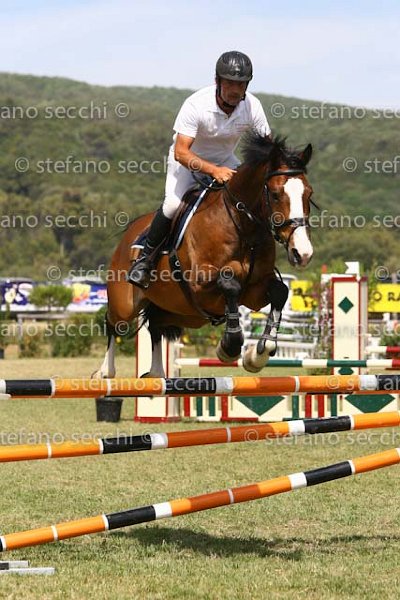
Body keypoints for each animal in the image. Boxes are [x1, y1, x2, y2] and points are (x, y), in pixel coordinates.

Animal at [93, 132, 314, 379]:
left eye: (309, 194)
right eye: (275, 195)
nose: (303, 253)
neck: (242, 228)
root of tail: (131, 232)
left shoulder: (255, 291)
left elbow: (280, 291)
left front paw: (257, 355)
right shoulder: (200, 284)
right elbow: (230, 284)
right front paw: (229, 347)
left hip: (181, 312)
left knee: (156, 324)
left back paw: (156, 373)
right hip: (126, 304)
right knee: (113, 322)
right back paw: (105, 372)